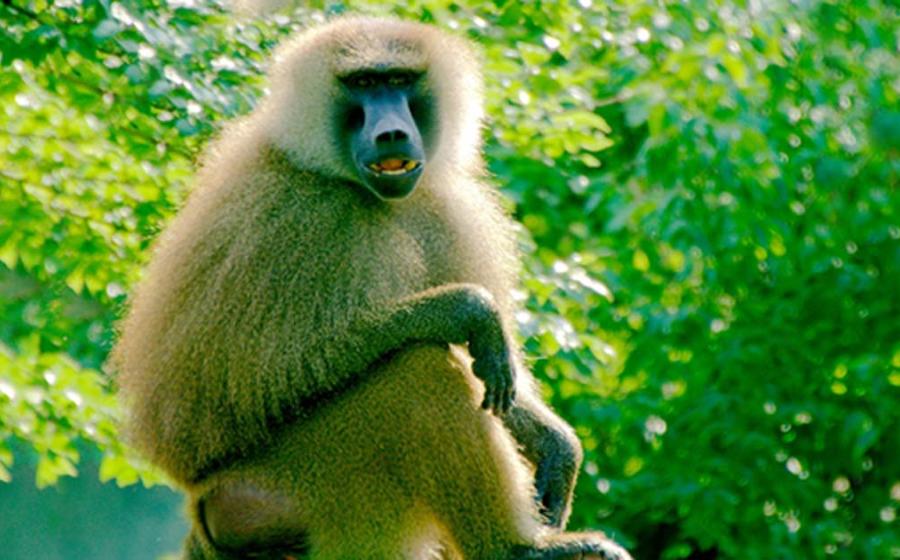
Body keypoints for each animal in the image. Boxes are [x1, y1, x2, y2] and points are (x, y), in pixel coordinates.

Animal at [112, 16, 631, 560]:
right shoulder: (303, 218)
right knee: (416, 372)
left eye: (398, 80)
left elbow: (498, 385)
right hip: (295, 484)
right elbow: (274, 374)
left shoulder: (444, 208)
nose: (392, 133)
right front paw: (470, 310)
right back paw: (518, 548)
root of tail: (204, 508)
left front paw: (556, 445)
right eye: (362, 83)